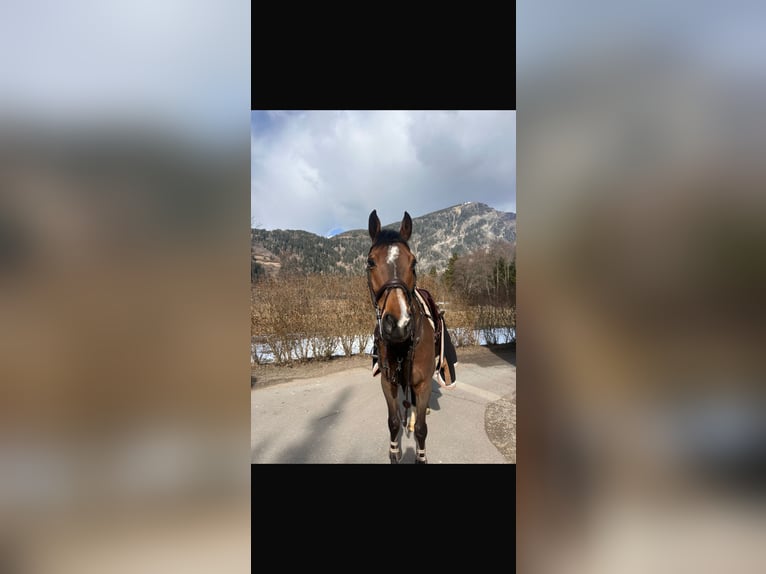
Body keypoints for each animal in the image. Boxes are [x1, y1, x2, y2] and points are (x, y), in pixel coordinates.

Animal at [367, 209, 436, 464]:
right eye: (371, 262)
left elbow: (422, 430)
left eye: (413, 262)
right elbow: (394, 422)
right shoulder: (388, 382)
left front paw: (421, 457)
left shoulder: (423, 384)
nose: (398, 324)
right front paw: (394, 453)